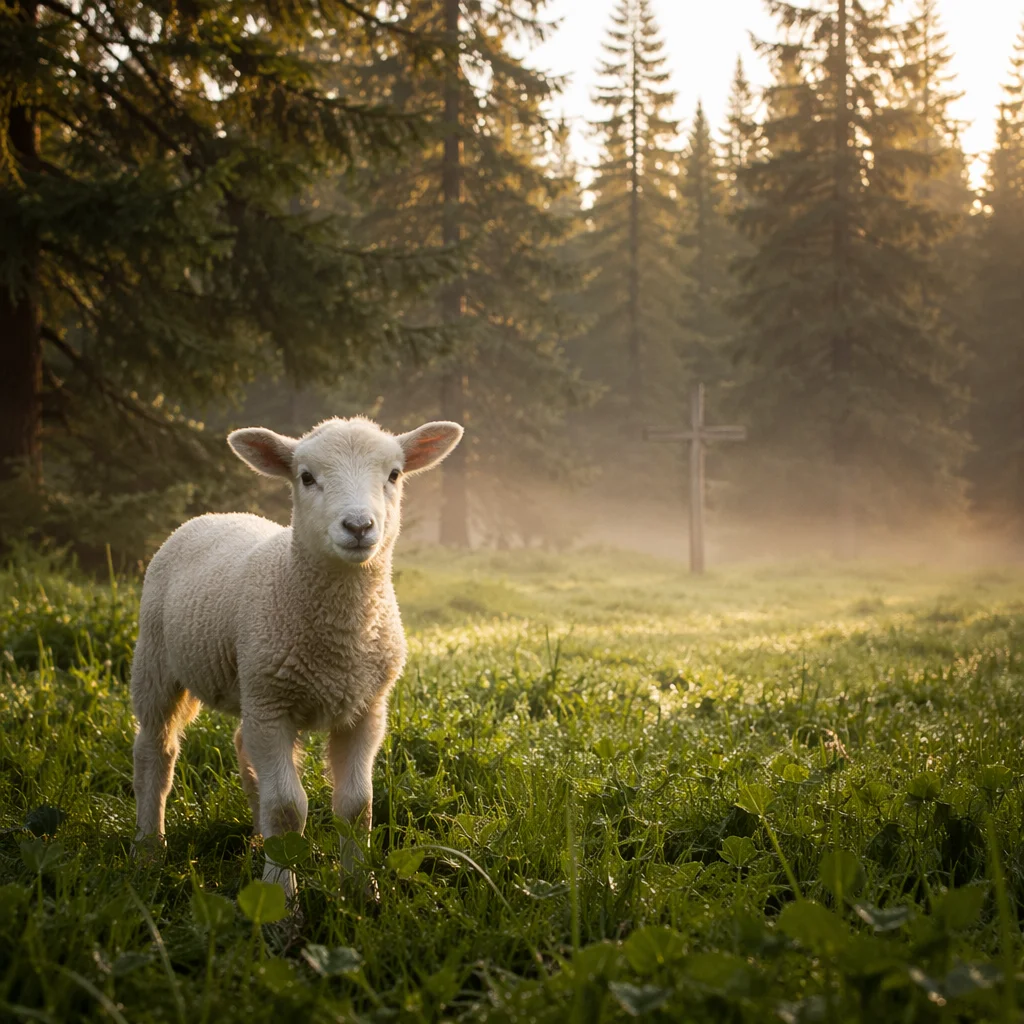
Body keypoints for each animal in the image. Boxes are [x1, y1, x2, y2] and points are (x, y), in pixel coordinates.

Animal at [131, 416, 464, 894]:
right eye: (306, 477)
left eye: (394, 475)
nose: (359, 526)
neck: (340, 641)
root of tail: (214, 515)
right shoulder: (273, 708)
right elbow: (288, 808)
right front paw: (282, 896)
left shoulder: (365, 709)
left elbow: (356, 805)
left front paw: (362, 890)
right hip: (157, 660)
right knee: (154, 750)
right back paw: (148, 849)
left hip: (249, 687)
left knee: (242, 745)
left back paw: (256, 840)